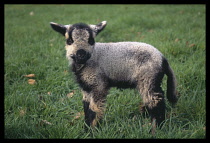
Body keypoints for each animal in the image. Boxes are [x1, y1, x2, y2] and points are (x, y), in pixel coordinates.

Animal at [50, 20, 178, 134]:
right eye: (69, 40)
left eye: (91, 40)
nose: (81, 55)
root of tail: (163, 59)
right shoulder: (86, 87)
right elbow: (86, 108)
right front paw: (85, 129)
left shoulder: (98, 84)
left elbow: (94, 109)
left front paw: (91, 131)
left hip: (148, 78)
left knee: (156, 100)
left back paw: (156, 128)